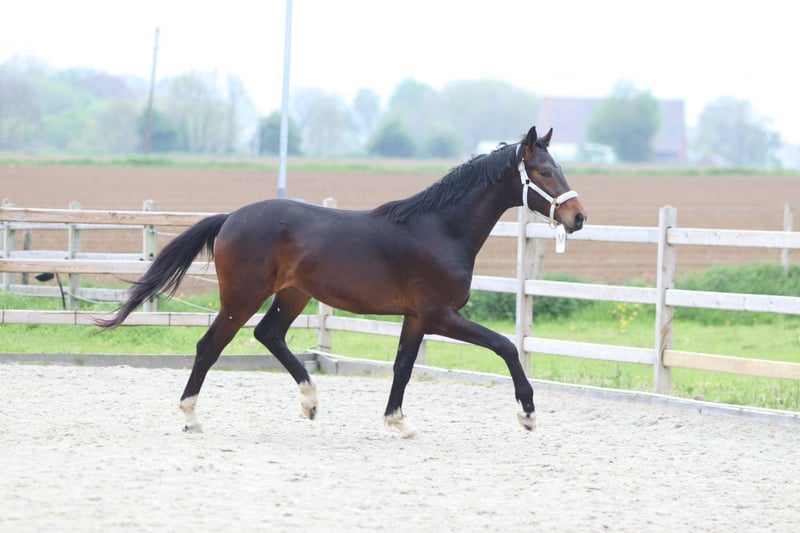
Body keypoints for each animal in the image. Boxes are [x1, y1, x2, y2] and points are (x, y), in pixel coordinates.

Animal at [96, 126, 586, 438]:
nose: (577, 217)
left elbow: (403, 366)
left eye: (559, 167)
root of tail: (231, 217)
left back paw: (311, 401)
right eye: (544, 171)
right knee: (209, 346)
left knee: (268, 334)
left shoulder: (415, 318)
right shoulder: (440, 314)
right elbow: (505, 346)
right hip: (242, 296)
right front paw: (528, 414)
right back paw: (192, 417)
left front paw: (398, 422)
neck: (440, 229)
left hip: (292, 295)